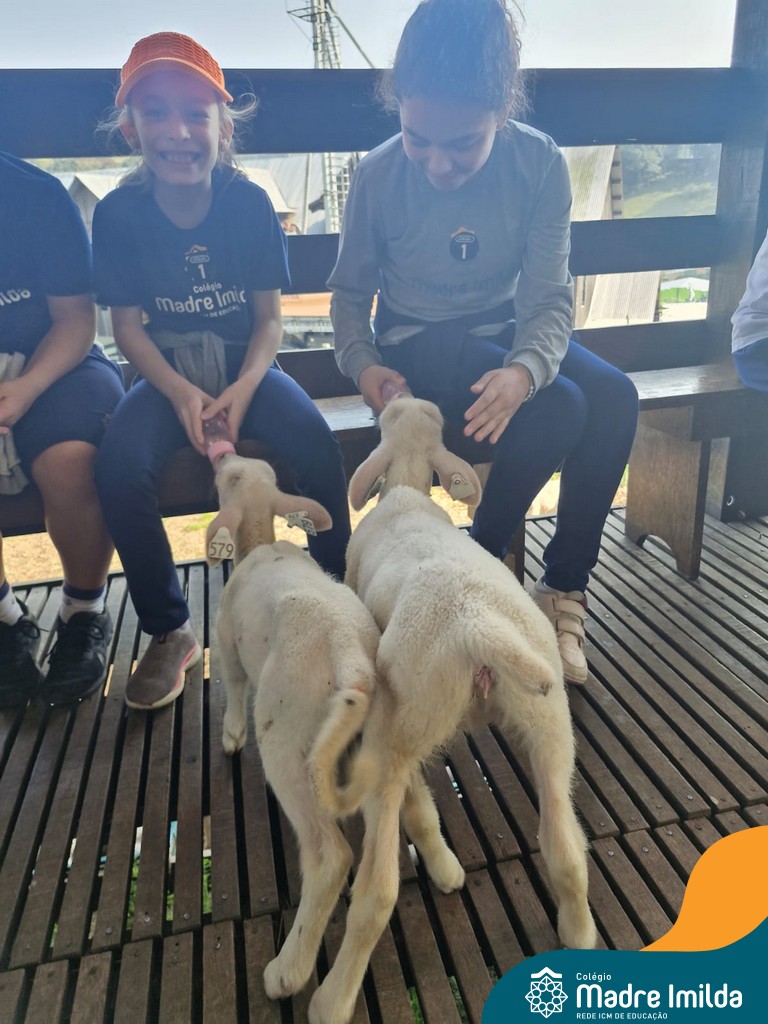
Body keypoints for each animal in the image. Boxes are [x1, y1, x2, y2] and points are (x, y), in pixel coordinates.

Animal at [205, 456, 381, 1005]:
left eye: (228, 481)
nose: (221, 455)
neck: (259, 544)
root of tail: (349, 657)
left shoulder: (227, 642)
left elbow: (233, 683)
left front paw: (230, 736)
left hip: (286, 737)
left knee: (329, 857)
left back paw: (287, 971)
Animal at [307, 396, 597, 1024]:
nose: (402, 397)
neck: (405, 488)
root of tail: (477, 628)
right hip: (549, 723)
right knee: (565, 847)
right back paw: (579, 933)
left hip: (400, 723)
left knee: (378, 890)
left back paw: (333, 997)